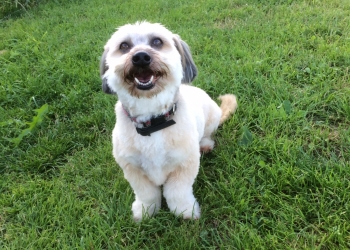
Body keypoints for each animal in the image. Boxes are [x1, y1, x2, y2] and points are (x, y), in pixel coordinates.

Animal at [100, 22, 238, 221]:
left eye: (157, 42)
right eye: (124, 46)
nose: (140, 57)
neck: (153, 122)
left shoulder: (185, 164)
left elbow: (177, 192)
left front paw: (185, 211)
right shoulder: (132, 168)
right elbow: (146, 193)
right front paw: (145, 211)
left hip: (212, 116)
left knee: (207, 134)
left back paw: (205, 144)